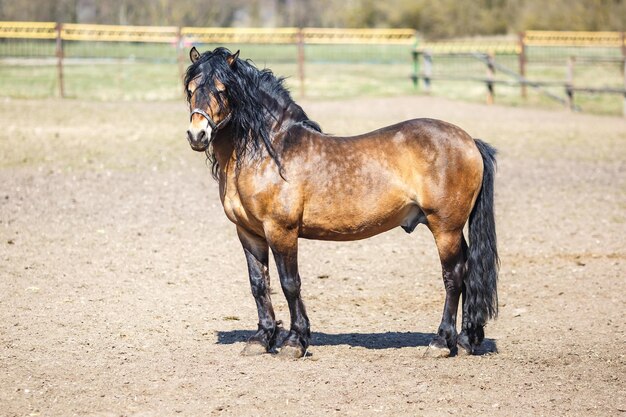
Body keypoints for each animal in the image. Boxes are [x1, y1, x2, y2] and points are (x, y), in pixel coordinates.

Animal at [180, 46, 498, 358]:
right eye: (191, 89)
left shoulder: (281, 231)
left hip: (445, 228)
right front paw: (261, 339)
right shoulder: (249, 233)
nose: (198, 135)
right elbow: (259, 284)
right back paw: (466, 340)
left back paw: (441, 342)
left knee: (454, 276)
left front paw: (295, 342)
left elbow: (289, 283)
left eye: (222, 90)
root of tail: (470, 141)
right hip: (452, 230)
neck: (269, 152)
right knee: (468, 271)